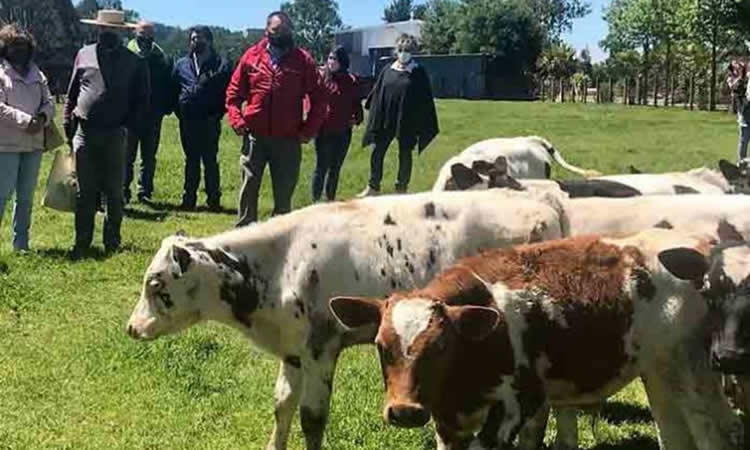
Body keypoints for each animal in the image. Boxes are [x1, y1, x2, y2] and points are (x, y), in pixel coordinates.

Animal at [126, 190, 568, 450]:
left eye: (155, 283)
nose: (132, 327)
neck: (282, 261)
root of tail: (542, 200)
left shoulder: (321, 350)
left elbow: (312, 418)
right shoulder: (293, 352)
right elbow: (282, 406)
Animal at [330, 229, 748, 450]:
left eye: (441, 346)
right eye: (381, 347)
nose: (404, 412)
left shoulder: (519, 405)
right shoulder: (448, 423)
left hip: (693, 376)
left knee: (713, 431)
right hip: (660, 373)